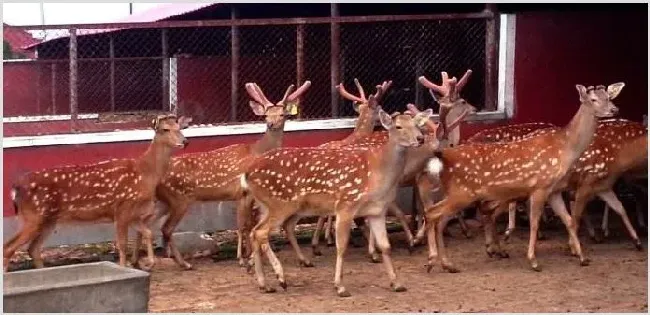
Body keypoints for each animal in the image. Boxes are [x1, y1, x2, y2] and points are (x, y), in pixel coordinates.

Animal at [3, 115, 191, 272]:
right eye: (165, 129)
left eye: (180, 127)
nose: (185, 141)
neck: (145, 173)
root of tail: (15, 188)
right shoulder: (121, 207)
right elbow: (122, 244)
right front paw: (124, 268)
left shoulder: (134, 214)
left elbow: (148, 233)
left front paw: (148, 263)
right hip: (32, 215)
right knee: (9, 247)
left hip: (49, 220)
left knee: (33, 248)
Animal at [154, 80, 312, 270]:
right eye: (266, 115)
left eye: (282, 114)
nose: (271, 124)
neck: (257, 151)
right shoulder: (244, 192)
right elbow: (244, 225)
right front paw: (244, 258)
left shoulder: (242, 196)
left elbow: (248, 224)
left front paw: (249, 255)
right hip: (179, 200)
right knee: (166, 228)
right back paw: (183, 263)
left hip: (164, 202)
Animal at [240, 102, 432, 298]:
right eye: (398, 126)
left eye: (416, 124)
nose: (420, 138)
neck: (377, 174)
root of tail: (247, 174)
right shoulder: (346, 204)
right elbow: (342, 246)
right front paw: (340, 286)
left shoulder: (377, 211)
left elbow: (386, 246)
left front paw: (397, 283)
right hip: (281, 203)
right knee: (261, 232)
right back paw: (281, 278)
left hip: (270, 205)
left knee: (256, 231)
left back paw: (265, 284)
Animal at [420, 82, 624, 272]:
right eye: (593, 99)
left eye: (608, 96)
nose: (614, 109)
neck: (564, 149)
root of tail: (443, 158)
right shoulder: (540, 186)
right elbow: (534, 223)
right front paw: (533, 261)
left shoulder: (554, 190)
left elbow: (569, 220)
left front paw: (582, 258)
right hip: (462, 193)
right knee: (433, 214)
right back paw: (433, 261)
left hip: (458, 194)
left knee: (439, 219)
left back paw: (447, 263)